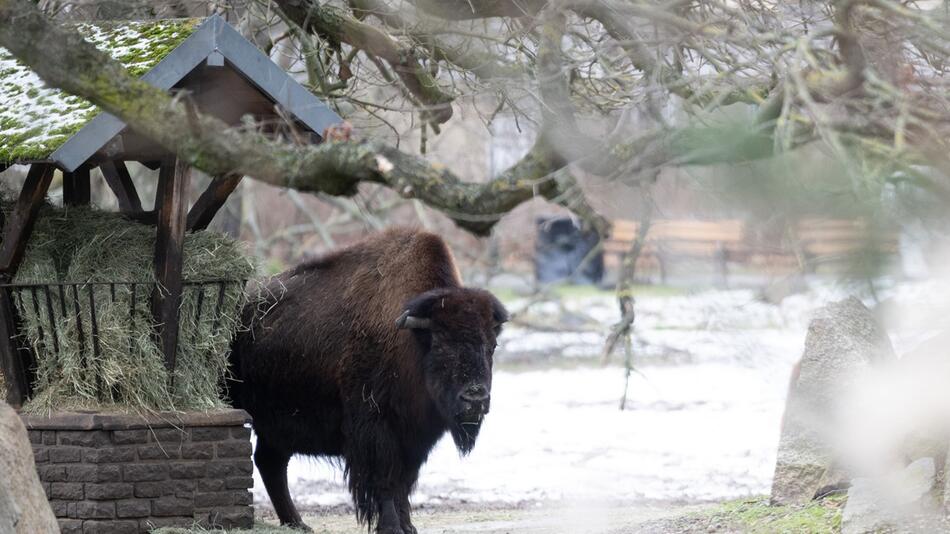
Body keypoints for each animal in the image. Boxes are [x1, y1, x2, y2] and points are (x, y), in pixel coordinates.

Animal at [228, 228, 510, 532]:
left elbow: (403, 483)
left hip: (277, 427)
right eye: (441, 344)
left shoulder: (414, 438)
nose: (475, 398)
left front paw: (408, 526)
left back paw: (297, 523)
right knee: (270, 463)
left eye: (492, 346)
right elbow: (385, 481)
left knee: (270, 463)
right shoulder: (376, 430)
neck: (413, 341)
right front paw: (392, 526)